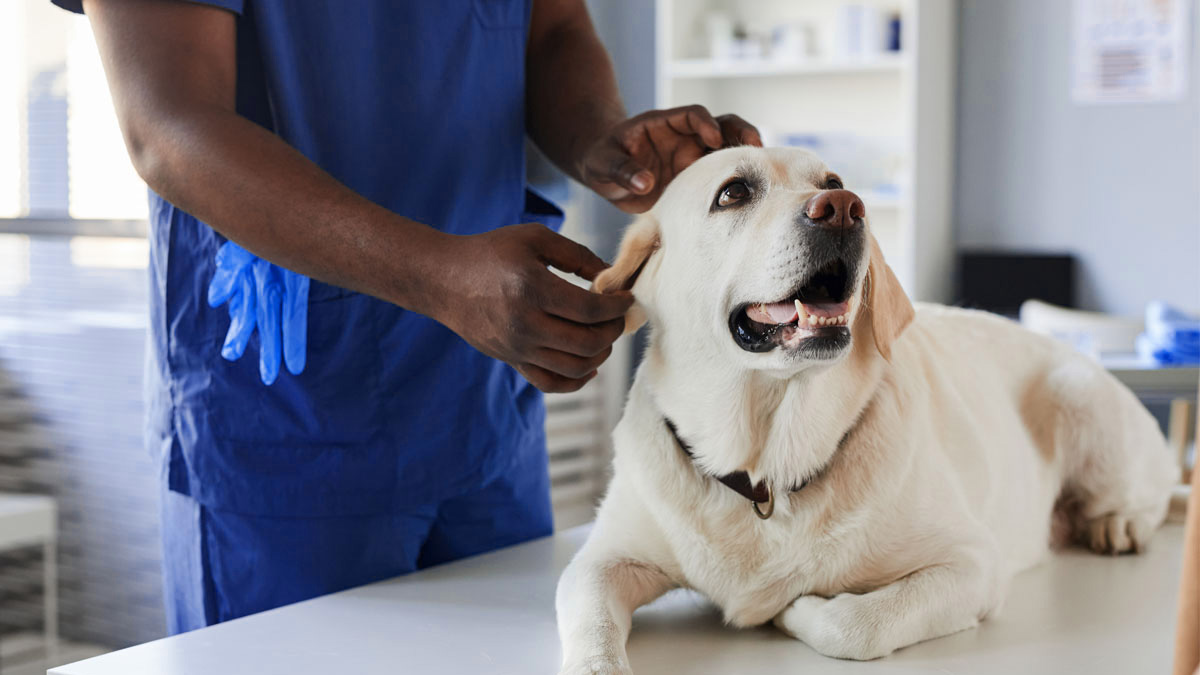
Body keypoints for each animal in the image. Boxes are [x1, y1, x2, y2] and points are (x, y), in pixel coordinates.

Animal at [556, 145, 1176, 667]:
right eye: (732, 193)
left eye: (832, 183)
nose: (843, 209)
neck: (766, 470)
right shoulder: (599, 561)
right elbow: (589, 620)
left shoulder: (972, 562)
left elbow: (856, 625)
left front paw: (795, 608)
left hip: (1078, 394)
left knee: (1154, 496)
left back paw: (1117, 524)